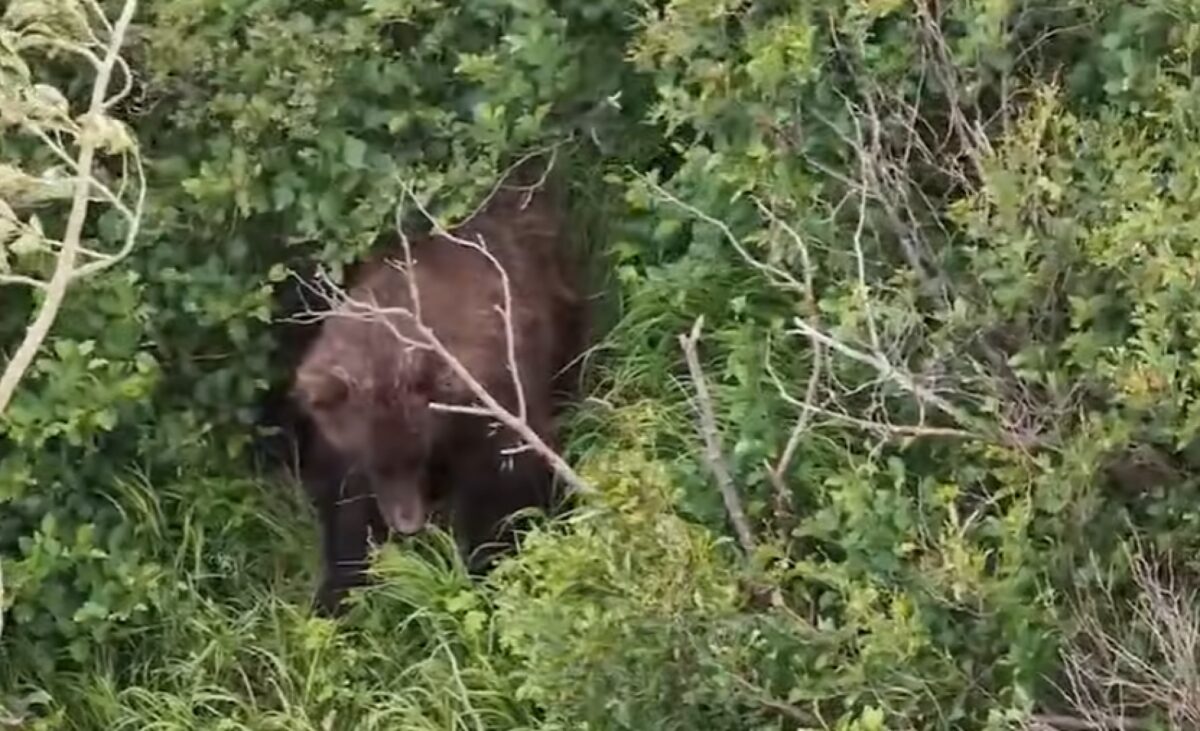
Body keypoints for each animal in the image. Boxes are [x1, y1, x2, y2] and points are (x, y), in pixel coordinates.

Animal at [289, 173, 587, 616]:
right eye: (375, 463)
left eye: (418, 456)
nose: (407, 524)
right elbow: (345, 512)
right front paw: (336, 592)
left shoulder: (489, 400)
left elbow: (507, 485)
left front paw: (488, 561)